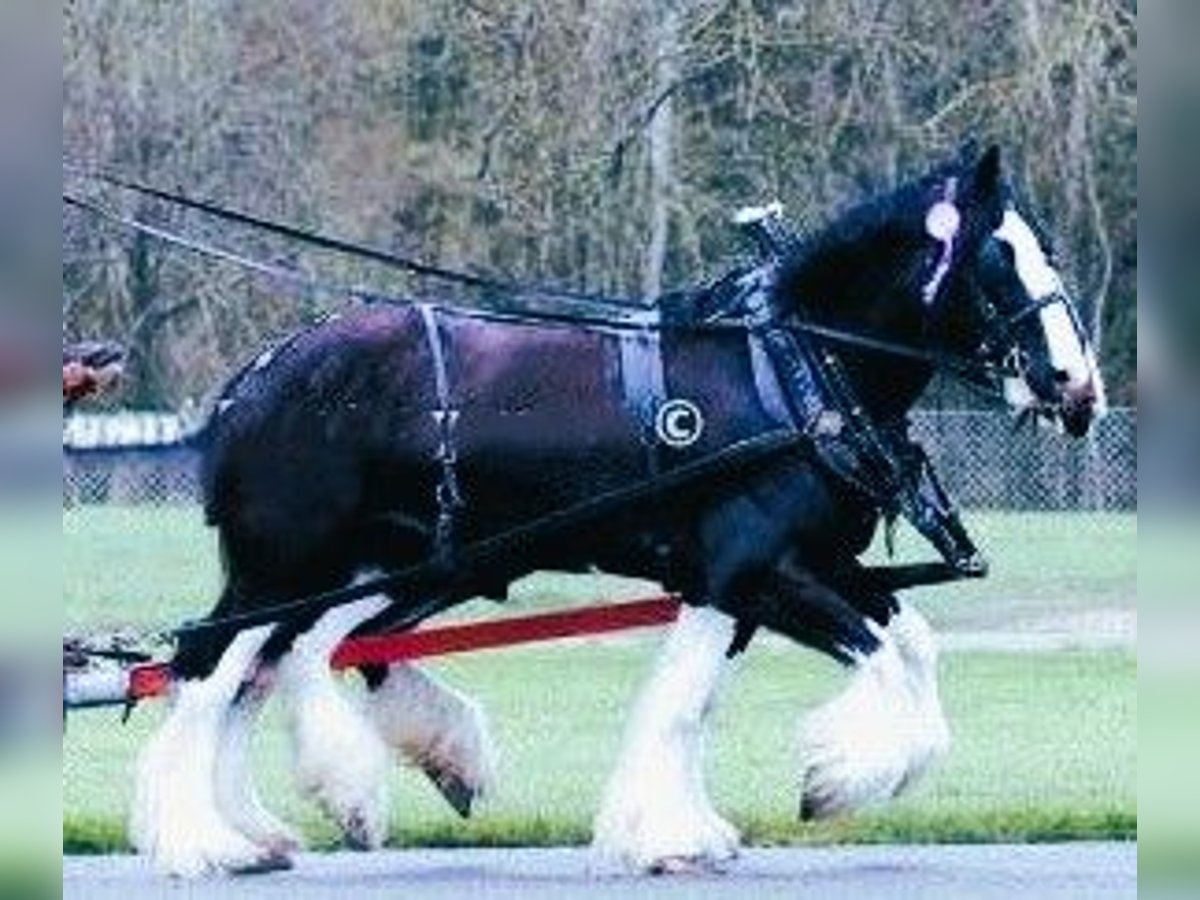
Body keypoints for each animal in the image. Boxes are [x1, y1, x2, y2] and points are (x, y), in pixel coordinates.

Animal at [133, 146, 1104, 873]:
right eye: (998, 258)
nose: (1076, 385)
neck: (792, 369)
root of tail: (257, 376)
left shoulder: (763, 574)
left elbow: (844, 662)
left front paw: (677, 831)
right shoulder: (760, 570)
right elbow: (865, 666)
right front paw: (834, 779)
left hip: (380, 569)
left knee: (290, 662)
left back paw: (299, 812)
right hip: (283, 566)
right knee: (211, 668)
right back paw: (207, 843)